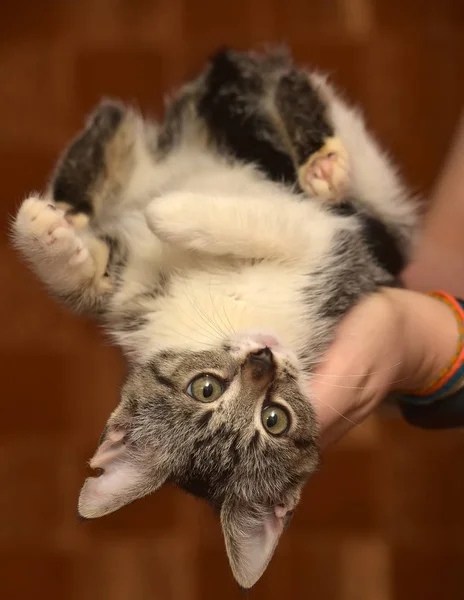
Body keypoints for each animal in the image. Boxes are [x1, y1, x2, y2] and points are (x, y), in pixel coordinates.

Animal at [11, 49, 416, 588]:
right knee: (120, 123)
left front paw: (167, 212)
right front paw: (49, 235)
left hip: (364, 194)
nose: (263, 361)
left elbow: (255, 224)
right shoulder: (130, 289)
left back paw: (320, 161)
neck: (224, 309)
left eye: (274, 419)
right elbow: (90, 279)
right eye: (205, 389)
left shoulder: (332, 248)